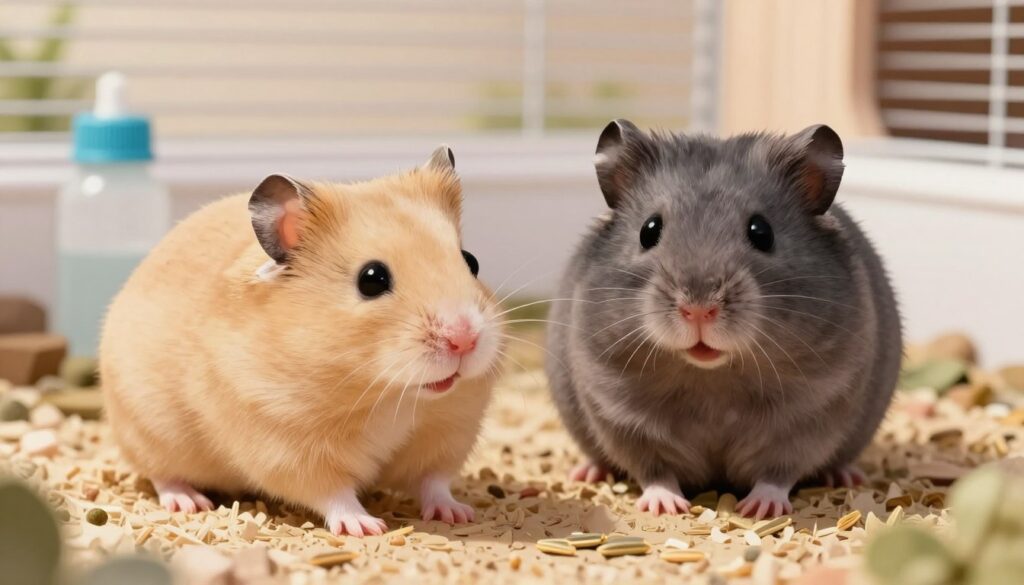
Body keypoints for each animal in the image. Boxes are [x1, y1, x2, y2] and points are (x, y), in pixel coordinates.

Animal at [100, 146, 504, 536]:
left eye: (471, 261)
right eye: (372, 279)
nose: (464, 340)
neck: (391, 395)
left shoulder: (449, 431)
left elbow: (434, 481)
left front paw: (458, 514)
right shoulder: (288, 445)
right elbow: (333, 493)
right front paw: (366, 527)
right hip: (148, 430)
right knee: (161, 474)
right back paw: (189, 502)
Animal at [546, 120, 901, 519]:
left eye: (762, 232)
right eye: (648, 230)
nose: (699, 309)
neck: (713, 379)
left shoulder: (812, 413)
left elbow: (779, 471)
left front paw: (759, 509)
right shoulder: (619, 412)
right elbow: (653, 469)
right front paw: (666, 507)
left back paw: (845, 476)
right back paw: (587, 472)